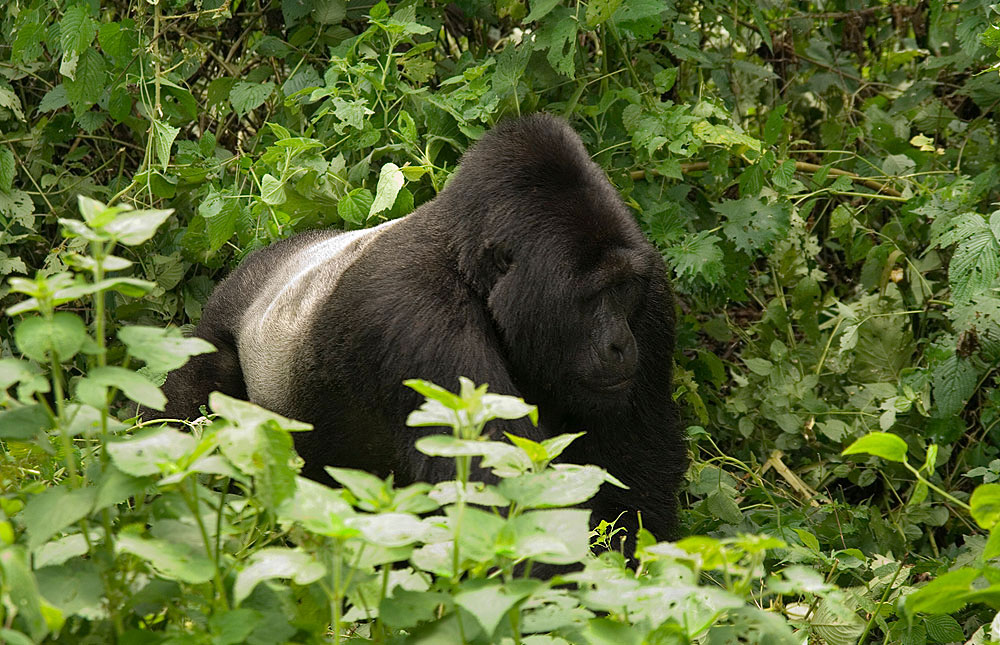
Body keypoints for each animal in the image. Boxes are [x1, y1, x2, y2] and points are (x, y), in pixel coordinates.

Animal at [156, 113, 688, 544]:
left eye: (623, 290)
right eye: (593, 297)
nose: (621, 345)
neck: (466, 266)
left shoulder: (653, 293)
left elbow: (631, 477)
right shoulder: (420, 324)